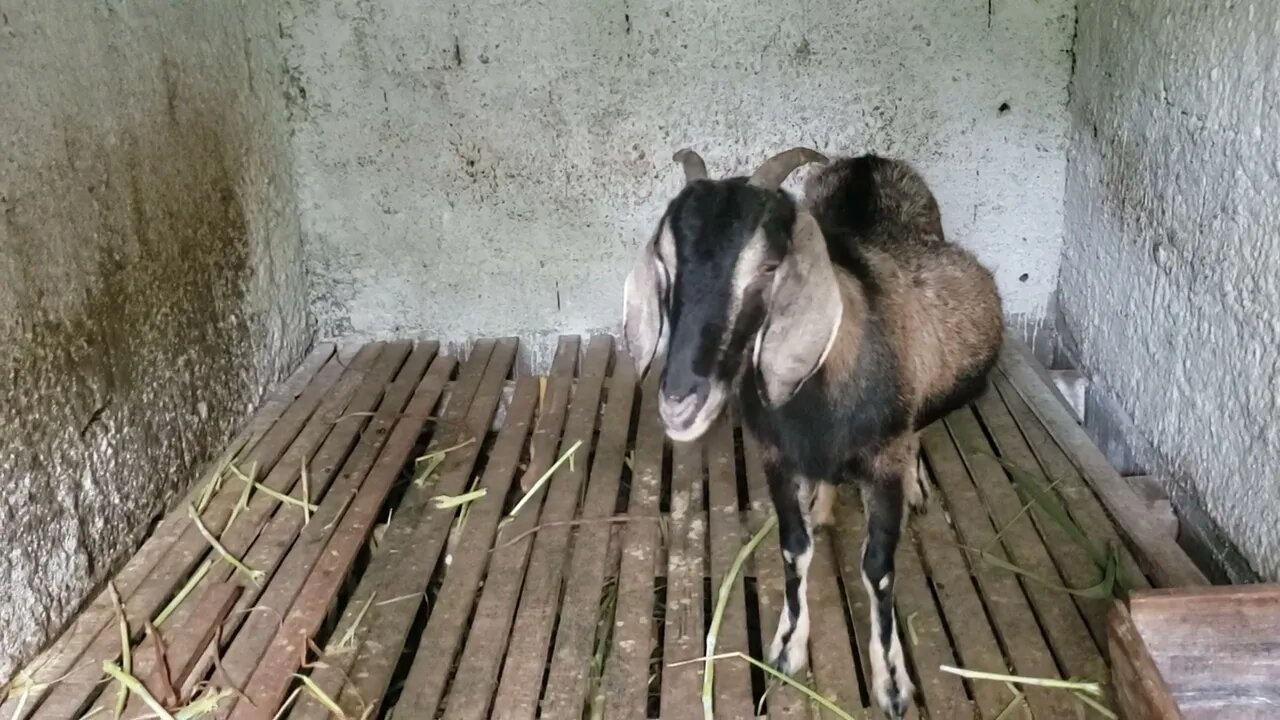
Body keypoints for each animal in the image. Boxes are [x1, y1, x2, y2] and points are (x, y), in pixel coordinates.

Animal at [621, 147, 1004, 718]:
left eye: (769, 267)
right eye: (667, 263)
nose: (680, 400)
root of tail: (869, 159)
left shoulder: (883, 461)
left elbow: (878, 568)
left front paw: (892, 683)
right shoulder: (776, 457)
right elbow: (793, 547)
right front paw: (786, 647)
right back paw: (822, 503)